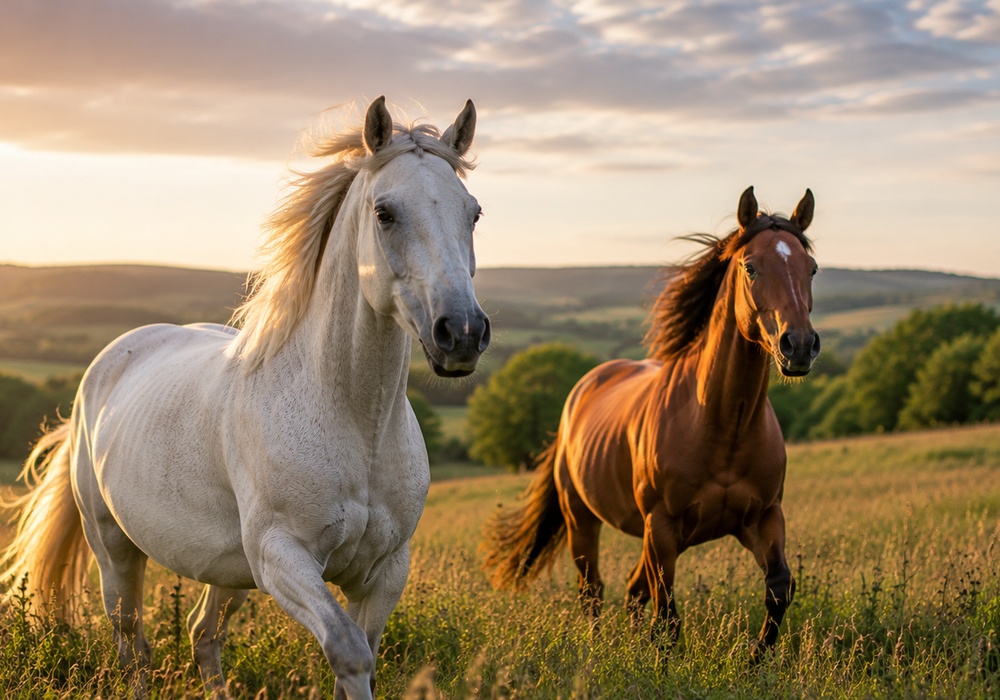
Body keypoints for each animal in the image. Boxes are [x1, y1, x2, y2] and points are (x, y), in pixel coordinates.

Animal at [0, 96, 490, 700]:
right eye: (384, 213)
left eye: (473, 213)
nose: (461, 333)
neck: (355, 421)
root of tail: (106, 366)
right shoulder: (282, 557)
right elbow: (349, 651)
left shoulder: (385, 571)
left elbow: (363, 655)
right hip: (114, 547)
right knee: (131, 642)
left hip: (227, 569)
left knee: (201, 634)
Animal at [483, 186, 818, 661]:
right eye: (750, 267)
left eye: (812, 269)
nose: (800, 346)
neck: (721, 424)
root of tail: (581, 392)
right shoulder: (662, 527)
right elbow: (668, 614)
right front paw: (668, 663)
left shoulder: (765, 517)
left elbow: (778, 588)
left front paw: (756, 660)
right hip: (583, 520)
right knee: (594, 590)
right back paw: (597, 648)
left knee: (631, 591)